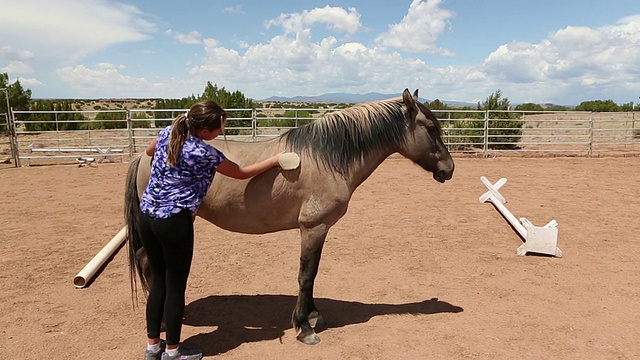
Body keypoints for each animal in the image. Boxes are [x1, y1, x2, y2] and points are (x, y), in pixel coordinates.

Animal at [124, 88, 456, 344]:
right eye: (430, 128)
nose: (449, 169)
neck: (328, 158)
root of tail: (144, 155)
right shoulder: (313, 227)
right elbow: (306, 275)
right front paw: (305, 327)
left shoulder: (319, 230)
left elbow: (312, 273)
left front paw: (313, 315)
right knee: (147, 263)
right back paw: (163, 323)